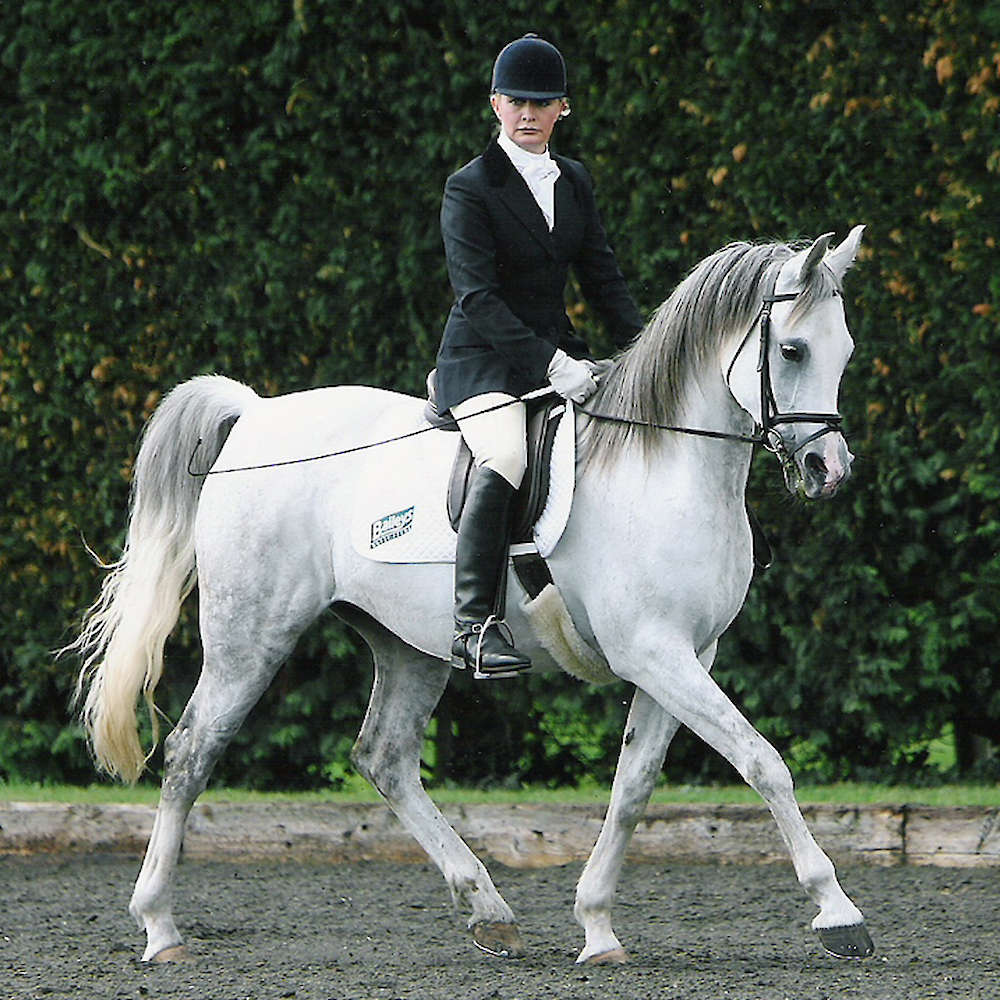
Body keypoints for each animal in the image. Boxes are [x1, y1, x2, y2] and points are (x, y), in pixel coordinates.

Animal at [68, 225, 874, 965]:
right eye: (792, 351)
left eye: (845, 352)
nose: (828, 470)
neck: (667, 462)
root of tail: (259, 414)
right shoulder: (653, 651)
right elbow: (762, 761)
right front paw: (838, 912)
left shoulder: (685, 655)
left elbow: (634, 786)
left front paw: (597, 926)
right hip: (251, 636)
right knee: (192, 750)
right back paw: (160, 927)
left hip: (409, 645)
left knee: (384, 756)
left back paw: (488, 908)